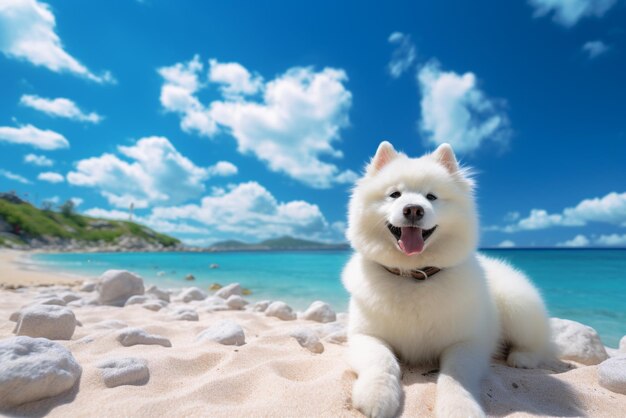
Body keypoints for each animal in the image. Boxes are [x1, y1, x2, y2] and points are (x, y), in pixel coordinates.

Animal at [342, 142, 552, 416]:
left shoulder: (467, 341)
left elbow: (455, 376)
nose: (413, 209)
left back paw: (522, 358)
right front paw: (377, 396)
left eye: (431, 197)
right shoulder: (365, 335)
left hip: (517, 306)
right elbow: (382, 361)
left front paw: (459, 407)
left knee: (537, 344)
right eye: (395, 195)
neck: (414, 275)